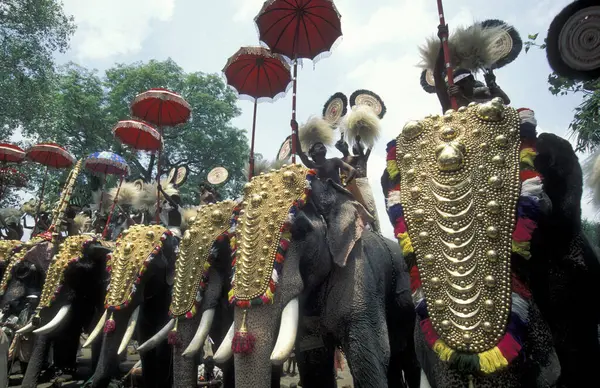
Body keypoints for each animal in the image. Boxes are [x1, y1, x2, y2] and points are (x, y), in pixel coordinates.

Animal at [214, 166, 418, 388]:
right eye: (233, 239)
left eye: (300, 230)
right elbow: (315, 364)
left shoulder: (361, 278)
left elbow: (369, 358)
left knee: (407, 357)